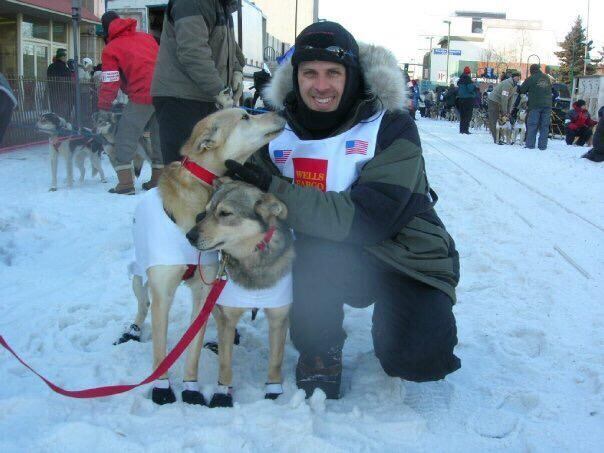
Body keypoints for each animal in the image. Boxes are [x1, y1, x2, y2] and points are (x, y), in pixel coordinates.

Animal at [186, 179, 294, 406]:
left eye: (225, 213)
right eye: (207, 211)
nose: (189, 236)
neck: (252, 261)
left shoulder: (279, 317)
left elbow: (275, 362)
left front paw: (274, 391)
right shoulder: (228, 318)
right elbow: (225, 366)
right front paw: (222, 395)